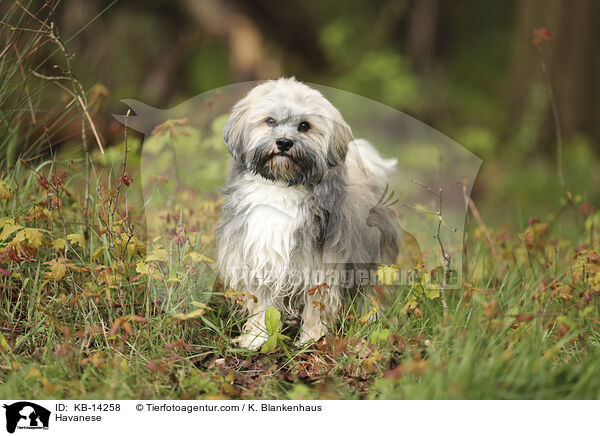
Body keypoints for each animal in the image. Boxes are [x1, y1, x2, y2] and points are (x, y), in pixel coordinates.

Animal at [214, 78, 398, 350]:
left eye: (304, 126)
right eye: (270, 121)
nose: (284, 142)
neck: (281, 187)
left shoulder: (322, 266)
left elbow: (316, 308)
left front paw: (313, 339)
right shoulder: (259, 259)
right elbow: (261, 306)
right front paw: (257, 338)